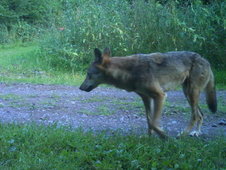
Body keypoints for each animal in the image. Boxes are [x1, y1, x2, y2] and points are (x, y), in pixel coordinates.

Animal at [79, 47, 217, 138]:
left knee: (195, 116)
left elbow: (154, 123)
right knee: (201, 114)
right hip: (188, 94)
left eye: (88, 74)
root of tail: (205, 60)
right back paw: (197, 132)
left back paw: (184, 134)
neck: (129, 72)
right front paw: (149, 138)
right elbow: (149, 121)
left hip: (191, 93)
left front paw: (163, 136)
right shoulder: (146, 98)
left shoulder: (160, 96)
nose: (80, 88)